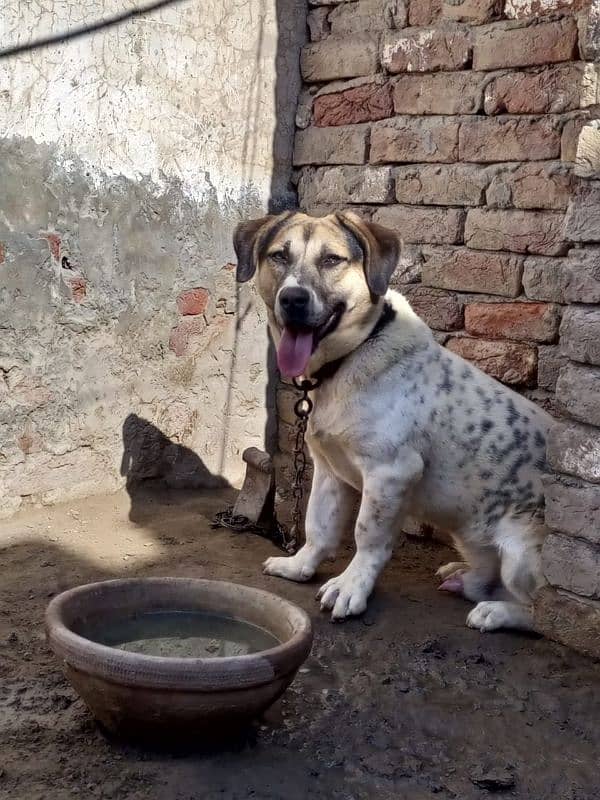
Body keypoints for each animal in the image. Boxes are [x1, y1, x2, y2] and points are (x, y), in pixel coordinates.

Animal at [232, 209, 552, 636]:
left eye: (332, 259)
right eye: (279, 256)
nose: (293, 299)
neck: (346, 361)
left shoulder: (391, 472)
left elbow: (366, 535)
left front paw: (352, 586)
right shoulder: (328, 468)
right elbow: (318, 526)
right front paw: (300, 566)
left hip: (520, 554)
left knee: (539, 612)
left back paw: (497, 612)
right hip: (470, 535)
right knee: (487, 578)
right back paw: (463, 577)